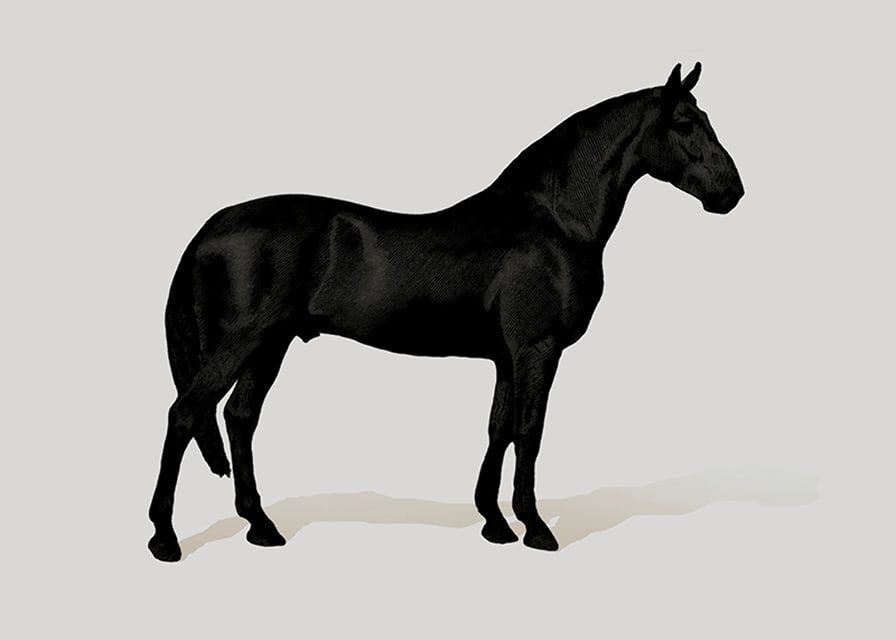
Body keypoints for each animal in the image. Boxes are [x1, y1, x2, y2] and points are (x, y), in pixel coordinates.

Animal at [149, 63, 744, 561]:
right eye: (685, 123)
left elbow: (498, 429)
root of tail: (213, 225)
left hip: (268, 346)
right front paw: (535, 528)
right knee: (186, 414)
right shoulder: (537, 349)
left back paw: (262, 526)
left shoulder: (506, 356)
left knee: (239, 419)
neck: (554, 221)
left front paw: (495, 524)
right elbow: (530, 430)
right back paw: (165, 538)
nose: (732, 191)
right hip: (241, 343)